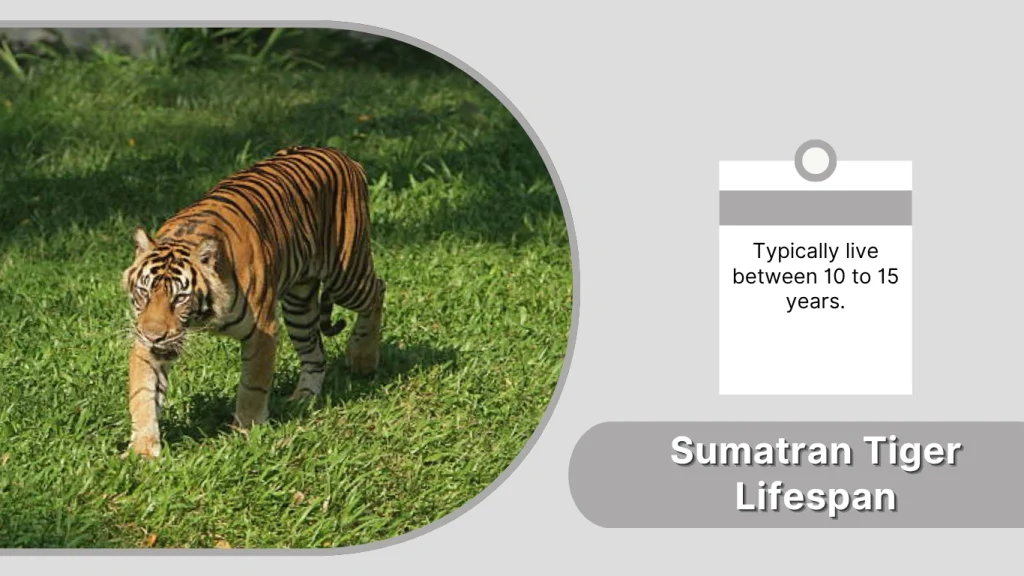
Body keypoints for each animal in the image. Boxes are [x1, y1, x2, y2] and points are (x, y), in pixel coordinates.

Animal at [121, 146, 386, 458]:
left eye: (180, 298)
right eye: (144, 292)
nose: (154, 335)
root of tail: (343, 155)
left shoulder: (263, 331)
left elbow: (253, 386)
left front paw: (245, 434)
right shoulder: (147, 339)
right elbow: (143, 394)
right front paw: (142, 451)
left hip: (346, 275)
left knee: (378, 290)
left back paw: (362, 357)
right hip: (299, 306)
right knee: (315, 355)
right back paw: (302, 399)